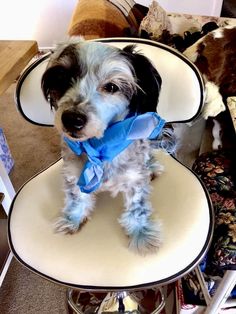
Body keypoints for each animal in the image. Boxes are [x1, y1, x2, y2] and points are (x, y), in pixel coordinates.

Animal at [42, 38, 168, 255]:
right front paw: (73, 218)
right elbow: (77, 198)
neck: (99, 146)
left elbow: (137, 208)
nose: (72, 119)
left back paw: (152, 167)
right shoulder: (73, 174)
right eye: (63, 78)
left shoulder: (135, 179)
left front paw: (141, 233)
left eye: (111, 87)